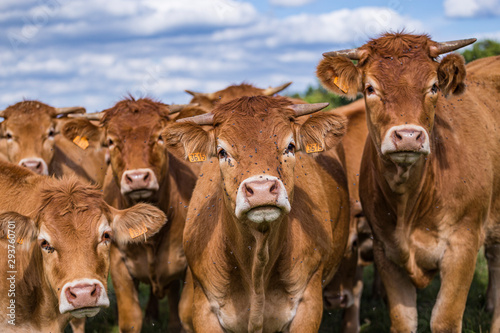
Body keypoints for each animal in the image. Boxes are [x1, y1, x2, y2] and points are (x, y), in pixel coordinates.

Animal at [60, 95, 197, 330]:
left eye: (159, 137)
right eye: (111, 141)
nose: (138, 178)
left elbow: (185, 311)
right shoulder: (118, 264)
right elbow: (131, 318)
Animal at [318, 32, 500, 330]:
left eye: (434, 86)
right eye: (370, 88)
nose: (408, 136)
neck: (410, 204)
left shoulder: (463, 243)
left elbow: (445, 320)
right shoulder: (386, 250)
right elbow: (403, 321)